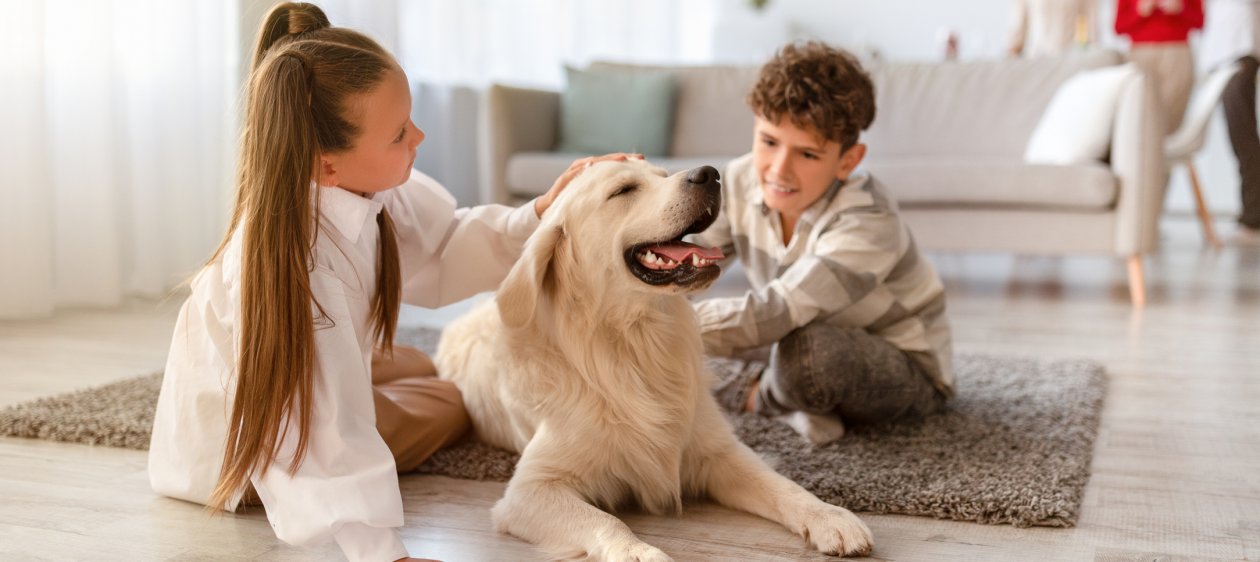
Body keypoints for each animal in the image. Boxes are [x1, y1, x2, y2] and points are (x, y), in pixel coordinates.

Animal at [438, 159, 871, 562]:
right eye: (624, 189)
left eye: (662, 174)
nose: (711, 173)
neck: (637, 340)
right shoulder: (531, 488)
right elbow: (605, 520)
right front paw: (638, 552)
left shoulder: (718, 451)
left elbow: (782, 484)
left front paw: (830, 516)